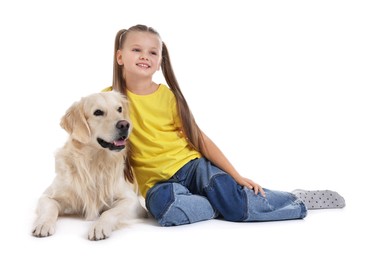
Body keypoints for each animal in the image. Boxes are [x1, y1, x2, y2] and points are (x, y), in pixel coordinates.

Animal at [32, 91, 147, 240]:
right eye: (98, 112)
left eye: (119, 109)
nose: (124, 125)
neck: (95, 163)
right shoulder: (47, 196)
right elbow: (50, 208)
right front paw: (43, 224)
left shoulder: (132, 201)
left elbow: (109, 212)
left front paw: (99, 226)